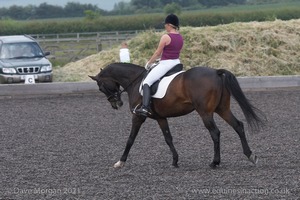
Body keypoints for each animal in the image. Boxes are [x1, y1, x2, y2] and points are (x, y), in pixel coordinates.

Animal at [89, 62, 264, 169]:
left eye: (100, 87)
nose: (116, 104)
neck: (136, 82)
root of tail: (215, 72)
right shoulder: (160, 118)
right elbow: (168, 138)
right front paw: (175, 160)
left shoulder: (139, 117)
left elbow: (130, 139)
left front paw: (120, 162)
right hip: (222, 109)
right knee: (238, 126)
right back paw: (250, 155)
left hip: (205, 112)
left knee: (215, 133)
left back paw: (215, 162)